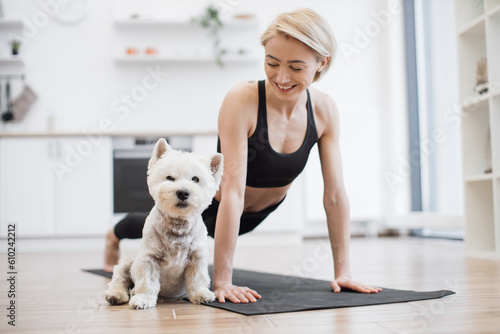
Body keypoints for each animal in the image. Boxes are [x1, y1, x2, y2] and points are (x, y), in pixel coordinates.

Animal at [105, 138, 223, 308]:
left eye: (195, 179)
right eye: (169, 177)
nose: (183, 192)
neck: (178, 224)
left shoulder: (197, 256)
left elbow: (197, 278)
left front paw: (201, 295)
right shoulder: (148, 258)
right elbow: (147, 282)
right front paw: (143, 299)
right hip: (127, 264)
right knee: (119, 280)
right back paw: (116, 295)